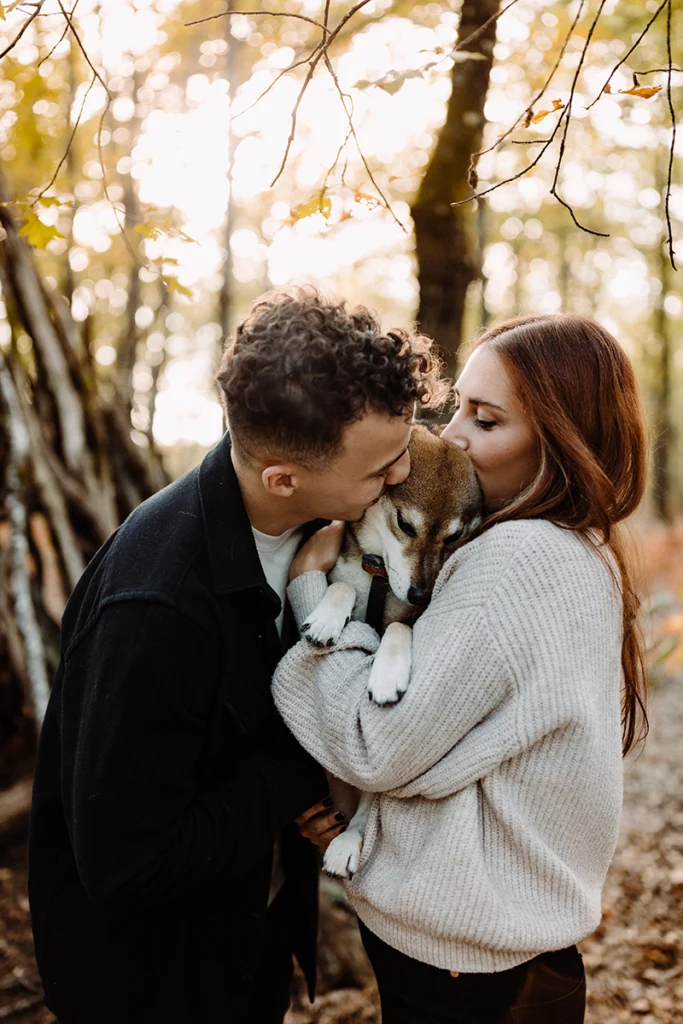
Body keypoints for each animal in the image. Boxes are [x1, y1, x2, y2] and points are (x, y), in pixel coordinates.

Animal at [299, 425, 481, 880]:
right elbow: (341, 585)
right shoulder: (348, 572)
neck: (379, 577)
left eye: (455, 536)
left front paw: (387, 675)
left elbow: (398, 627)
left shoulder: (410, 618)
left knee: (366, 810)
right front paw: (327, 619)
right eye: (405, 524)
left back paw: (348, 843)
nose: (421, 593)